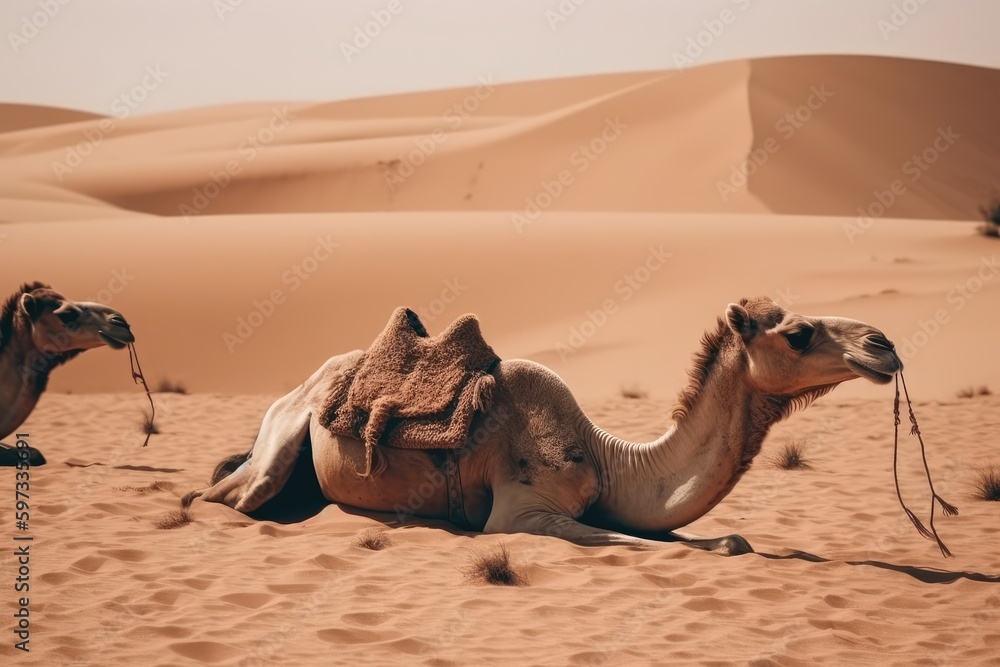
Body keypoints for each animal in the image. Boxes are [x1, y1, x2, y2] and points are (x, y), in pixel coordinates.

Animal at [186, 297, 901, 555]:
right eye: (800, 333)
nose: (883, 344)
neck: (607, 456)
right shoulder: (519, 513)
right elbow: (632, 541)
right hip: (283, 436)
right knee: (226, 494)